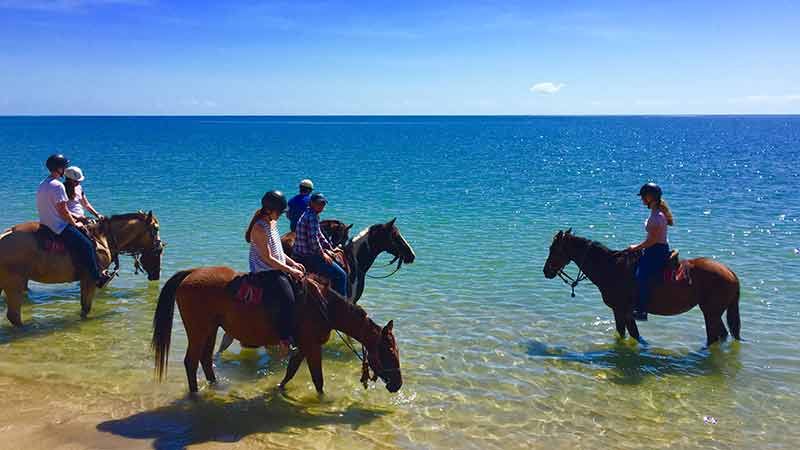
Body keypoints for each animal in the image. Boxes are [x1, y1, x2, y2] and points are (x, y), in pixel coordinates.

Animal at [0, 211, 165, 326]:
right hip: (14, 283)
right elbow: (86, 307)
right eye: (155, 229)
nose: (156, 275)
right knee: (14, 316)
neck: (102, 238)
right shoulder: (89, 278)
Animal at [152, 268, 402, 395]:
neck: (324, 306)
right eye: (389, 351)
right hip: (198, 330)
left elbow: (291, 371)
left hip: (211, 329)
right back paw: (196, 395)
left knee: (205, 359)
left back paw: (216, 386)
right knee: (191, 361)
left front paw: (279, 389)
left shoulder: (303, 346)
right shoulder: (312, 346)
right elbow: (318, 380)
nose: (397, 384)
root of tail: (189, 275)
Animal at [543, 229, 741, 346]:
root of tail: (730, 273)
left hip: (710, 313)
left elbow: (627, 333)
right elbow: (632, 334)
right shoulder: (625, 312)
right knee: (723, 335)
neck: (610, 267)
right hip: (714, 313)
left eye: (553, 249)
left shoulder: (620, 310)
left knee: (714, 336)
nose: (546, 271)